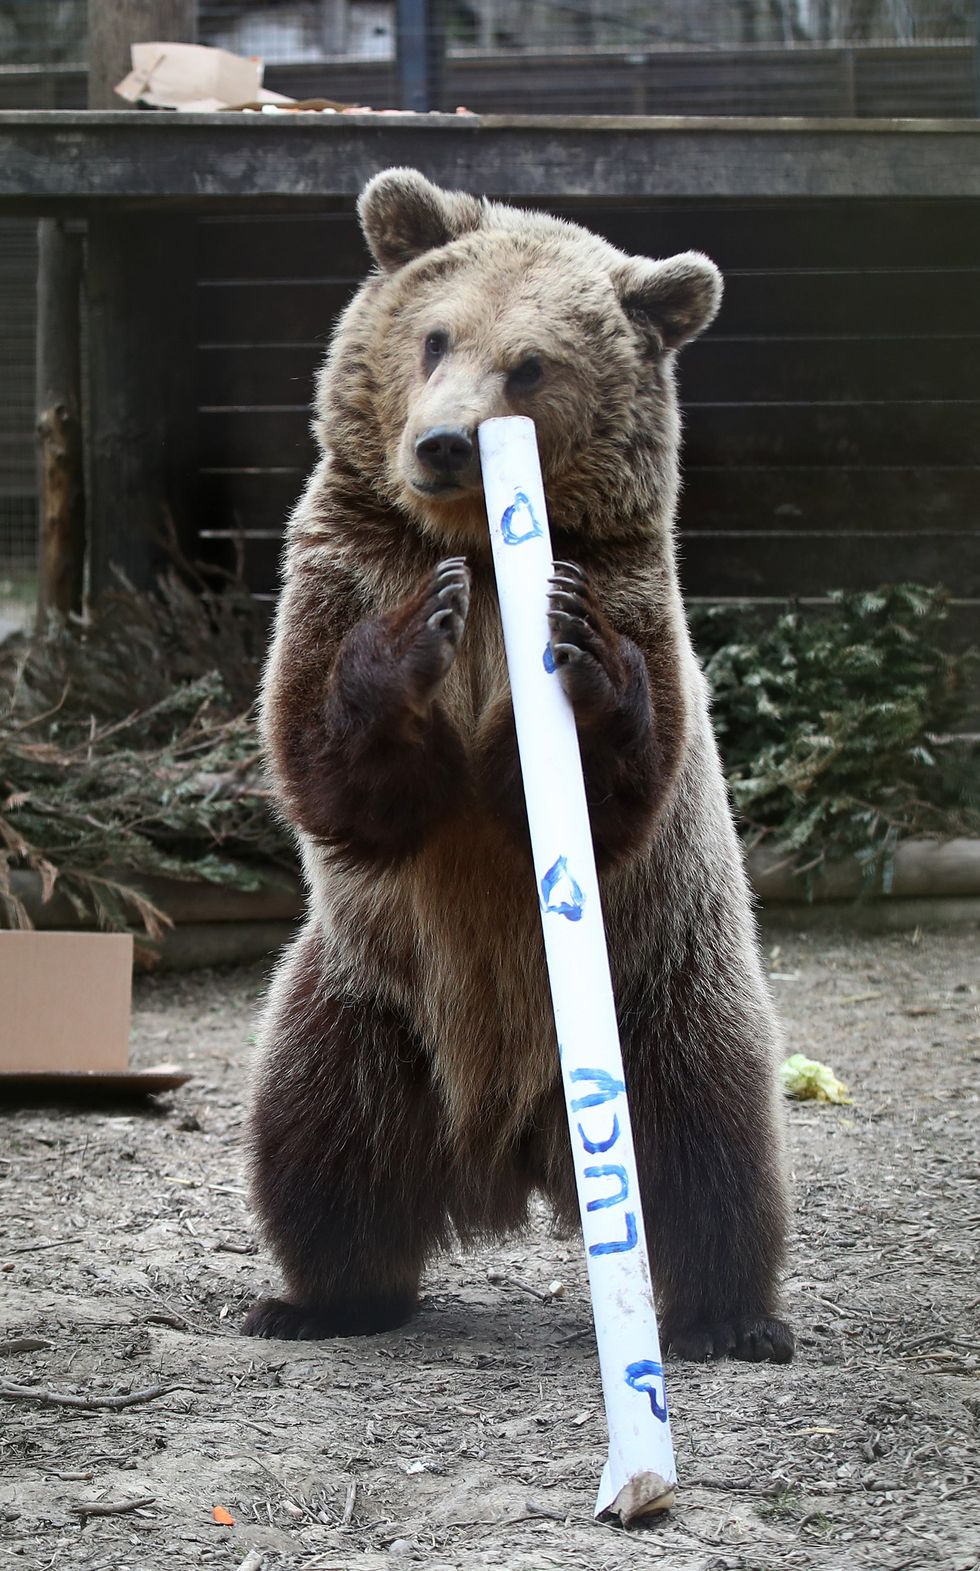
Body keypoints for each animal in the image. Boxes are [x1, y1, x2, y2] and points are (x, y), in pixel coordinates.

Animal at [246, 162, 797, 1363]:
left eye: (531, 363)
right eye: (435, 336)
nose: (443, 444)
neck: (479, 545)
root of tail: (506, 1153)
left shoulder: (630, 589)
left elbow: (603, 783)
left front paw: (585, 663)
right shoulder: (336, 575)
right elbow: (334, 768)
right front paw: (414, 634)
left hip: (663, 996)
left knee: (711, 1151)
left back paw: (730, 1317)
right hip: (366, 1003)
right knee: (319, 1143)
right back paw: (315, 1299)